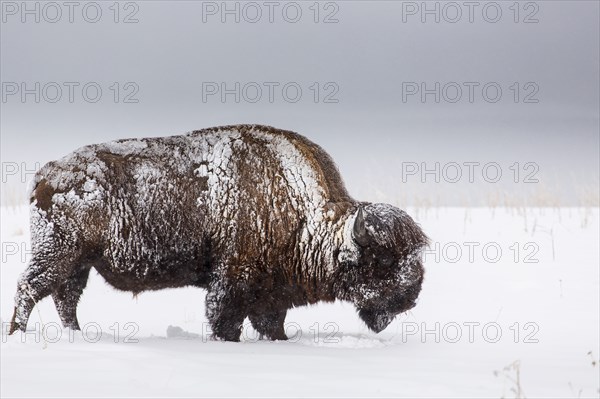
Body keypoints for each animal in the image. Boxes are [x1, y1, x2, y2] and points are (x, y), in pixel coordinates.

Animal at [8, 124, 426, 340]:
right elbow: (225, 319)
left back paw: (75, 336)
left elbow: (272, 324)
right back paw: (18, 334)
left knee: (64, 299)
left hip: (79, 262)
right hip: (59, 252)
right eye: (382, 261)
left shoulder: (269, 294)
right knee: (30, 288)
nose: (411, 295)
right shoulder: (231, 281)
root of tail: (46, 174)